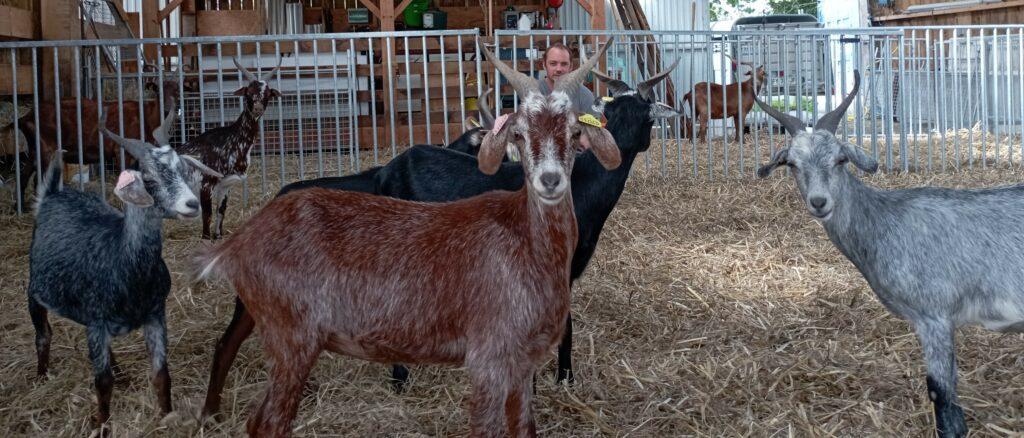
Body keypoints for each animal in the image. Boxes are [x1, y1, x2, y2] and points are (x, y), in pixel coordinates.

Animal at [27, 105, 222, 431]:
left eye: (184, 171)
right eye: (149, 179)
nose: (192, 204)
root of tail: (53, 193)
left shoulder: (155, 315)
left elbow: (161, 374)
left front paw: (165, 416)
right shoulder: (97, 320)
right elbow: (102, 383)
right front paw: (102, 426)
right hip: (34, 292)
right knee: (44, 335)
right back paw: (42, 376)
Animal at [176, 57, 280, 239]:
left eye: (267, 94)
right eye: (248, 92)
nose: (258, 109)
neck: (233, 140)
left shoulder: (226, 185)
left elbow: (221, 211)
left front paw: (218, 236)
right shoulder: (206, 184)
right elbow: (207, 215)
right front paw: (206, 239)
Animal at [753, 70, 1024, 435]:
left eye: (840, 159)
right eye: (792, 164)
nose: (819, 202)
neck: (885, 222)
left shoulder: (934, 316)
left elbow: (941, 395)